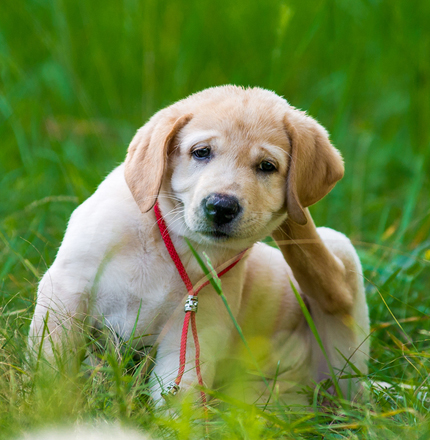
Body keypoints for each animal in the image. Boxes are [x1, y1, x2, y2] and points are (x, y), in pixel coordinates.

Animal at [28, 85, 368, 406]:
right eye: (201, 152)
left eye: (267, 166)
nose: (221, 207)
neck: (173, 242)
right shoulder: (67, 290)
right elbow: (53, 361)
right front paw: (49, 404)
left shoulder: (195, 330)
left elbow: (180, 400)